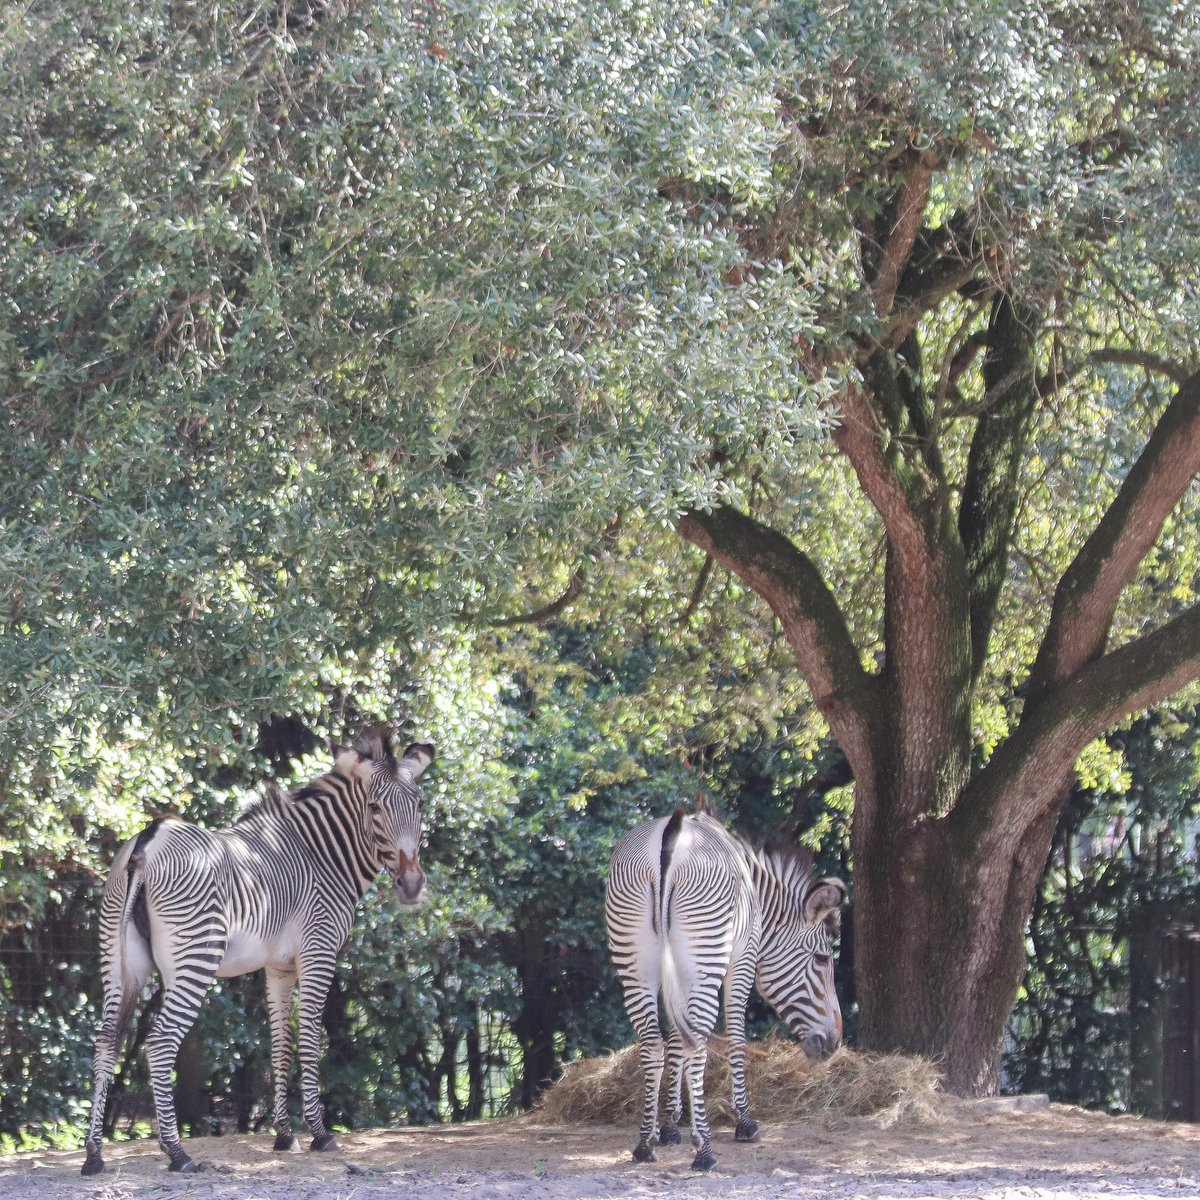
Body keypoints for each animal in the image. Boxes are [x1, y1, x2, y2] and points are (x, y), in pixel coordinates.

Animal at [80, 726, 435, 1176]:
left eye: (419, 805)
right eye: (374, 808)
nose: (412, 886)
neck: (320, 855)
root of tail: (147, 840)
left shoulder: (278, 967)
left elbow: (280, 1042)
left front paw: (284, 1135)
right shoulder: (318, 952)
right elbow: (310, 1039)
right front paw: (320, 1134)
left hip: (118, 960)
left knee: (106, 1040)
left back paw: (94, 1154)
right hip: (194, 959)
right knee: (159, 1043)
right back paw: (177, 1153)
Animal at [605, 806, 846, 1171]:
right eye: (821, 959)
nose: (834, 1042)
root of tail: (672, 830)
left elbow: (674, 1036)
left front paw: (670, 1125)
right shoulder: (742, 961)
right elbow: (735, 1036)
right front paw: (744, 1121)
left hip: (635, 959)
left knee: (652, 1043)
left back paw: (646, 1144)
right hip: (706, 952)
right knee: (697, 1042)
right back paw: (704, 1151)